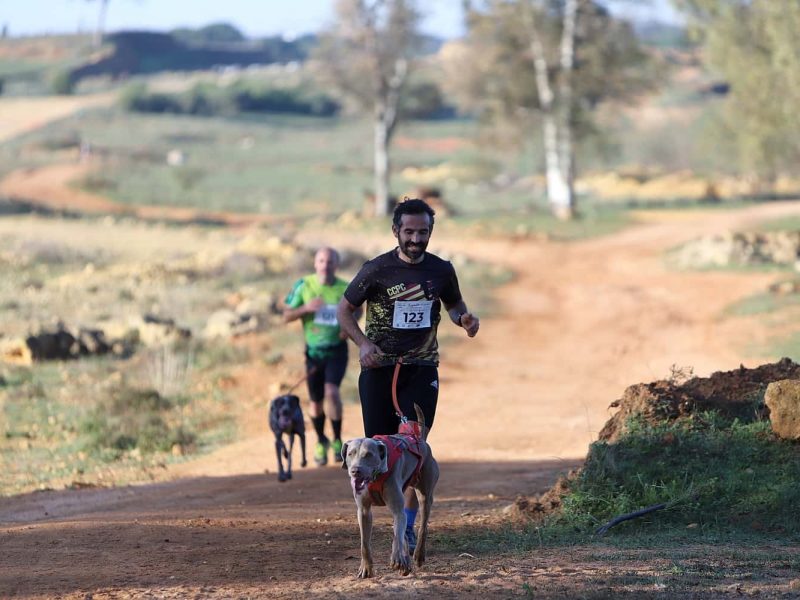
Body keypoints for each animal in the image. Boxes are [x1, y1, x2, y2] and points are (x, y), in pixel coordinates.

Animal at [338, 408, 438, 576]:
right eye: (350, 453)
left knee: (422, 526)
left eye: (368, 454)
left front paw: (397, 559)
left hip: (425, 494)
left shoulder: (398, 510)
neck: (376, 477)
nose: (355, 471)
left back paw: (417, 555)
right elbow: (364, 544)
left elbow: (397, 535)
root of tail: (420, 439)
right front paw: (366, 568)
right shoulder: (363, 511)